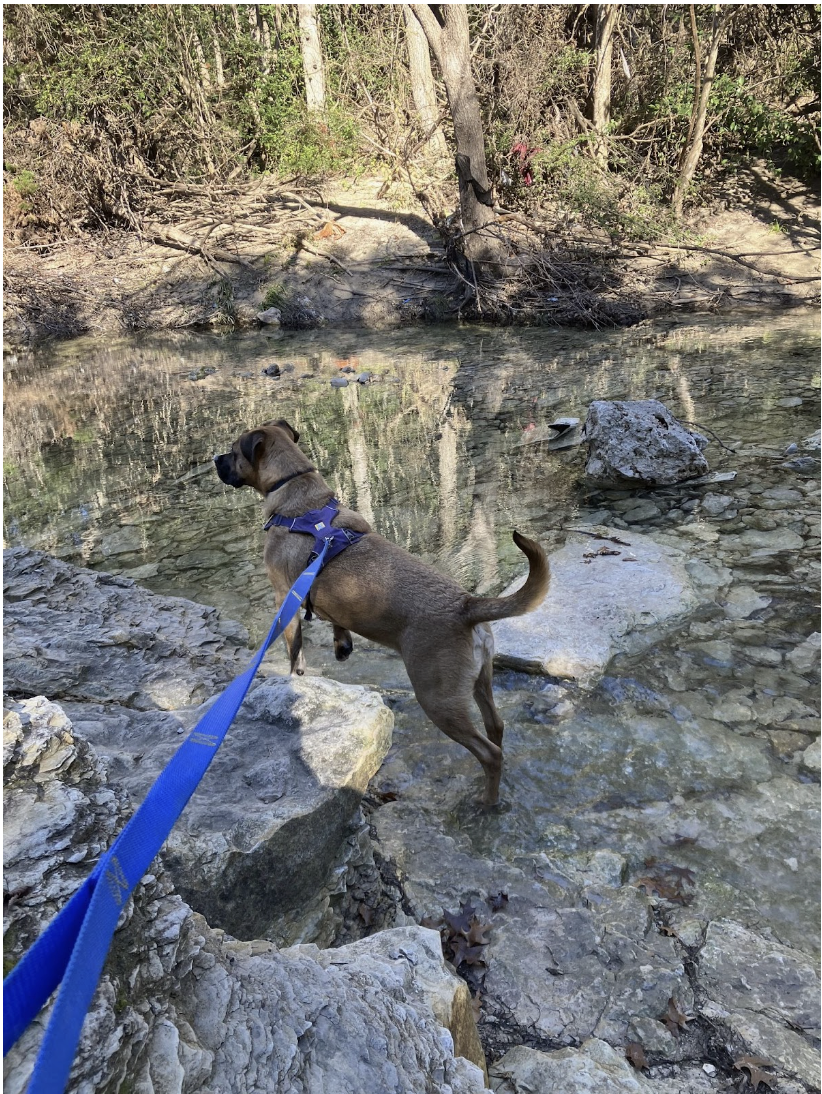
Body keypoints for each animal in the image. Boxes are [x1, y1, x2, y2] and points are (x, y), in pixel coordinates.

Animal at [212, 417, 549, 805]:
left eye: (233, 452)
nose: (215, 459)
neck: (299, 495)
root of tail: (467, 605)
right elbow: (337, 622)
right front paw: (341, 645)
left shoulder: (286, 599)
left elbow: (295, 651)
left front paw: (295, 678)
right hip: (481, 681)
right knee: (496, 726)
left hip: (438, 699)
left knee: (490, 754)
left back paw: (487, 803)